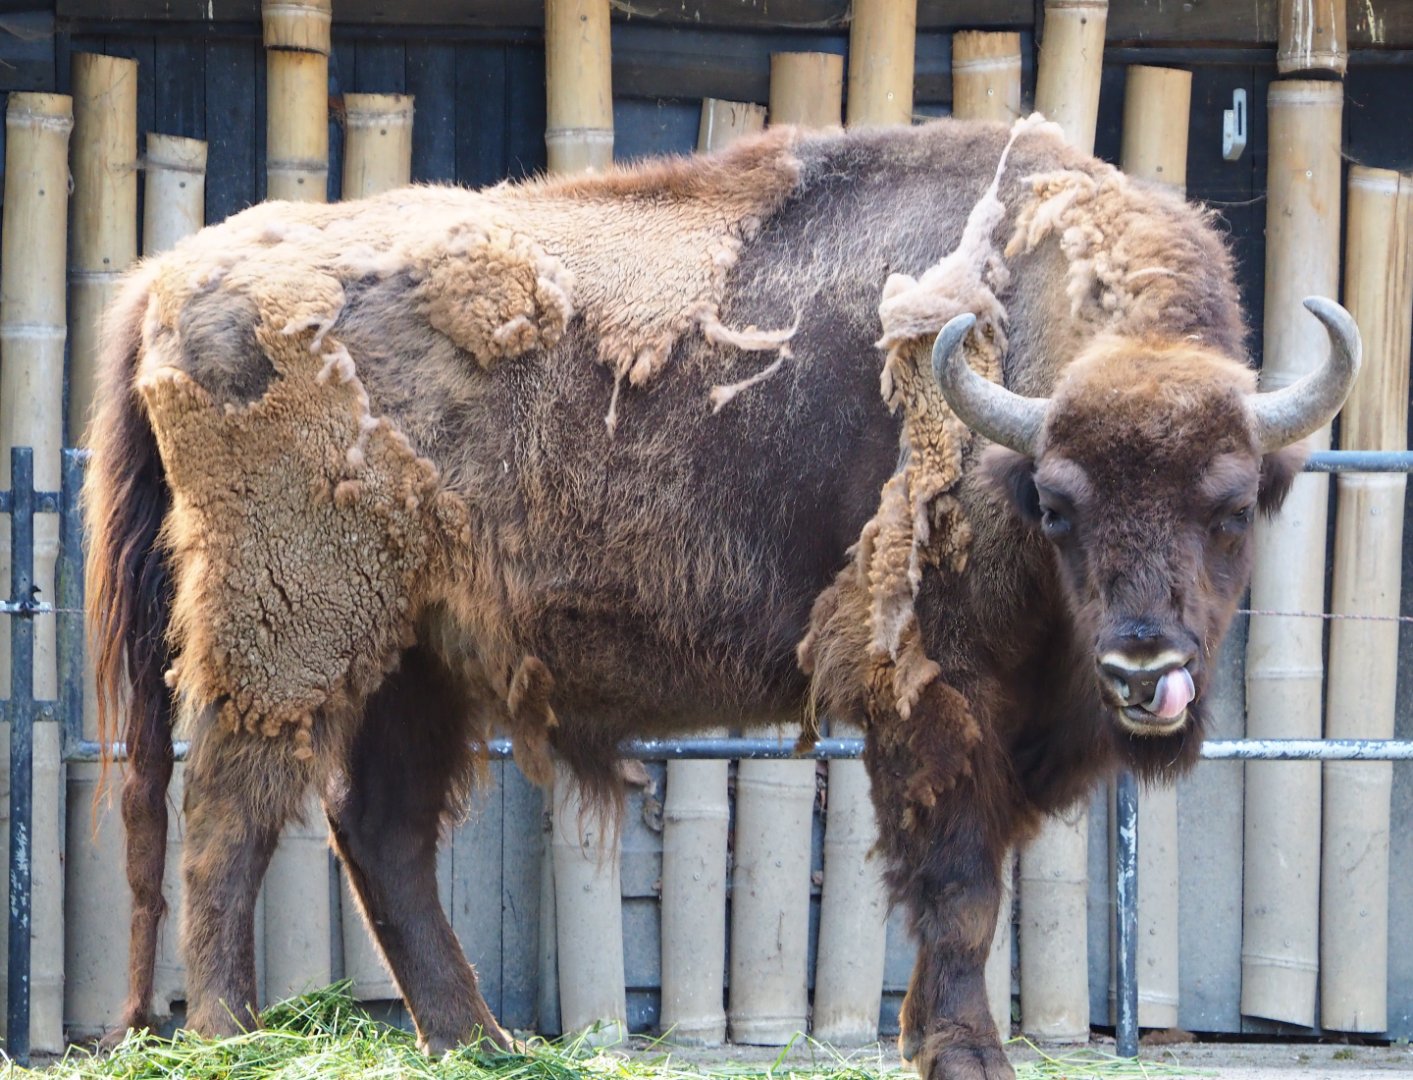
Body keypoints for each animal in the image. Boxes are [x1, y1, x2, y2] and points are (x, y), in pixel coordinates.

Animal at [84, 118, 1359, 1080]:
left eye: (1233, 504)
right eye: (1058, 503)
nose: (1144, 668)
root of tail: (172, 277)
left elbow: (968, 882)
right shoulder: (936, 694)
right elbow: (955, 880)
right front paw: (962, 1054)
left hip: (419, 656)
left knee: (378, 828)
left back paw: (486, 1043)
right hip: (292, 624)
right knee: (231, 811)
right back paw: (234, 1038)